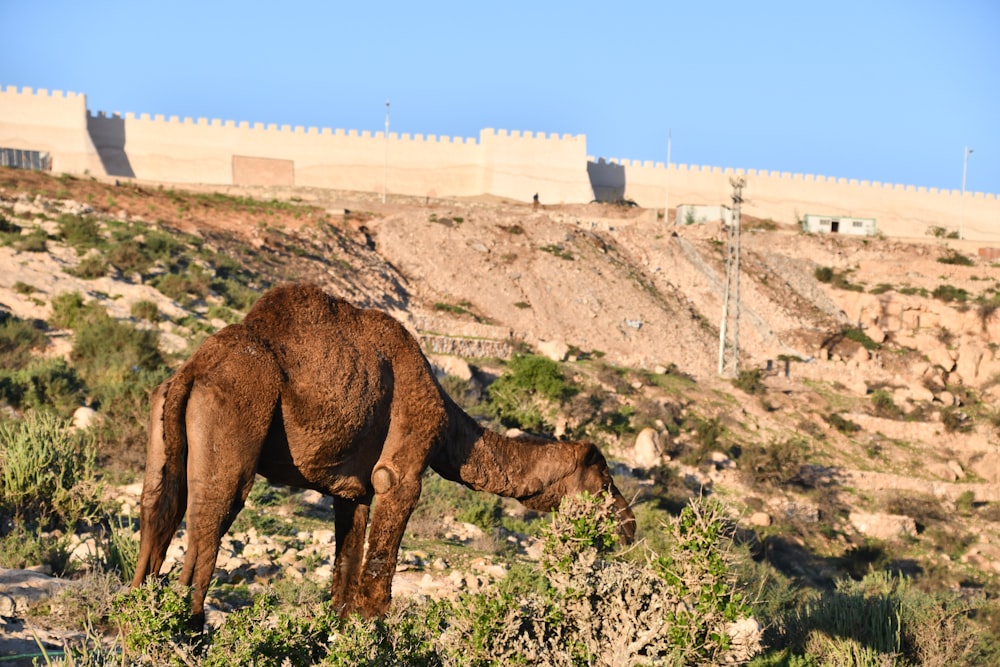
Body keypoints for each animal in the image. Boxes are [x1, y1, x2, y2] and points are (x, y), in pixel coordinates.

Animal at [133, 284, 636, 628]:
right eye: (604, 481)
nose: (628, 525)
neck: (450, 427)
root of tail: (192, 370)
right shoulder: (403, 463)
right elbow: (382, 557)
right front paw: (376, 630)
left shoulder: (350, 488)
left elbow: (345, 567)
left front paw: (337, 630)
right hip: (233, 419)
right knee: (209, 522)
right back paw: (189, 631)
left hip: (162, 417)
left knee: (159, 512)